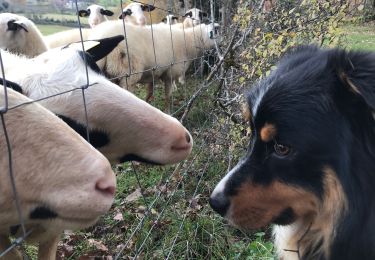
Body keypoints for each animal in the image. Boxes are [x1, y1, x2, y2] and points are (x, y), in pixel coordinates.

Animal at [88, 20, 220, 112]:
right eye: (214, 32)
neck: (189, 41)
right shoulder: (170, 73)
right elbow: (168, 96)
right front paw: (167, 111)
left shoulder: (153, 73)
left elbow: (150, 93)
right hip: (127, 73)